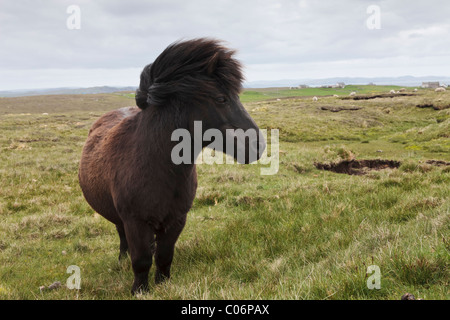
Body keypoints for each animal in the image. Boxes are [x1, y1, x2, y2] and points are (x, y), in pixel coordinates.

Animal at [79, 38, 266, 294]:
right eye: (221, 98)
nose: (258, 145)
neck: (158, 168)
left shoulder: (177, 220)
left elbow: (164, 256)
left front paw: (163, 283)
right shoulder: (135, 222)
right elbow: (141, 260)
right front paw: (139, 290)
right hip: (120, 219)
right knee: (122, 237)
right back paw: (121, 260)